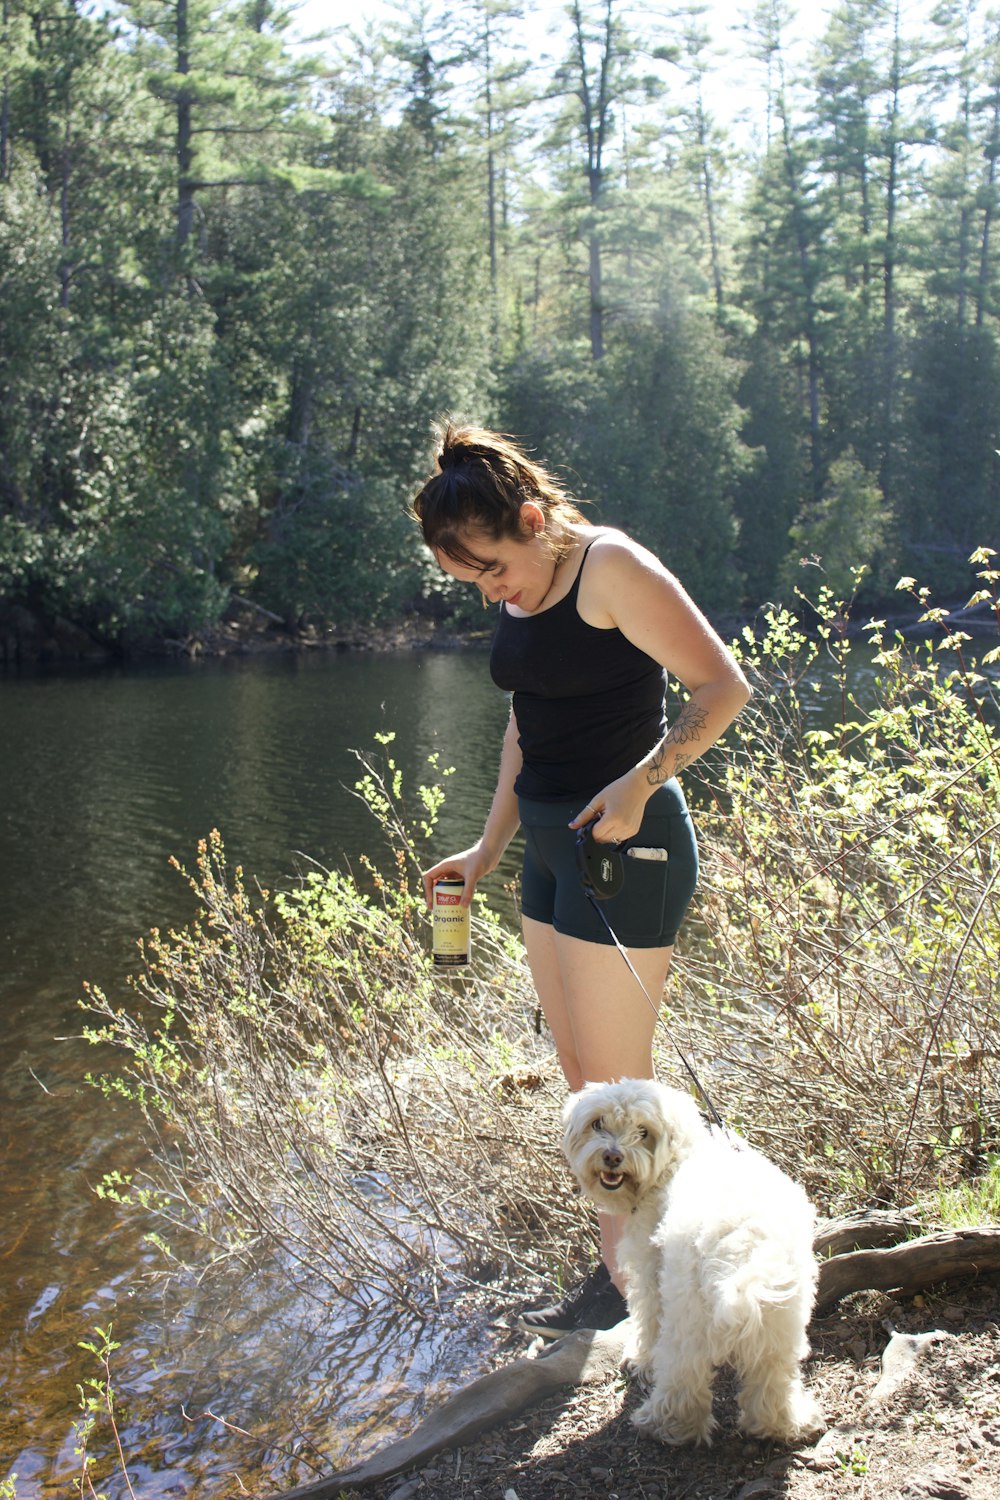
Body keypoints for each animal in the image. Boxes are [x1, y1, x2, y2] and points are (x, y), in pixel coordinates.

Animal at [560, 1080, 827, 1440]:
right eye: (598, 1123)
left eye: (643, 1131)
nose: (613, 1156)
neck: (676, 1159)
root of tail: (745, 1245)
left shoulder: (649, 1273)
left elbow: (647, 1319)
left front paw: (640, 1360)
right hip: (782, 1318)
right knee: (772, 1380)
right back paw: (784, 1423)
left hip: (687, 1315)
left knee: (683, 1373)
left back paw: (666, 1425)